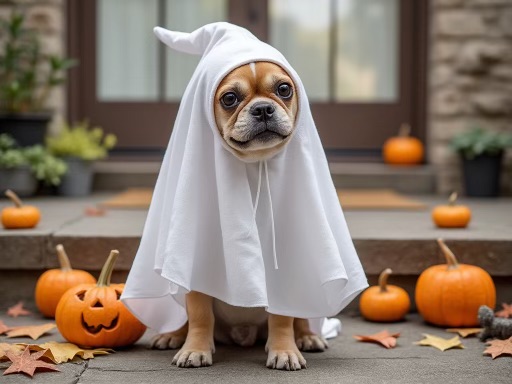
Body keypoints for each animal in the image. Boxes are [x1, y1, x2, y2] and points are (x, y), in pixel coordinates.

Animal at [150, 61, 326, 370]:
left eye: (284, 89)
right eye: (229, 98)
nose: (263, 108)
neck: (254, 165)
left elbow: (282, 318)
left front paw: (284, 350)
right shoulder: (199, 267)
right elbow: (200, 315)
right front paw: (195, 349)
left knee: (300, 316)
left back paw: (307, 337)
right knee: (187, 319)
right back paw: (173, 335)